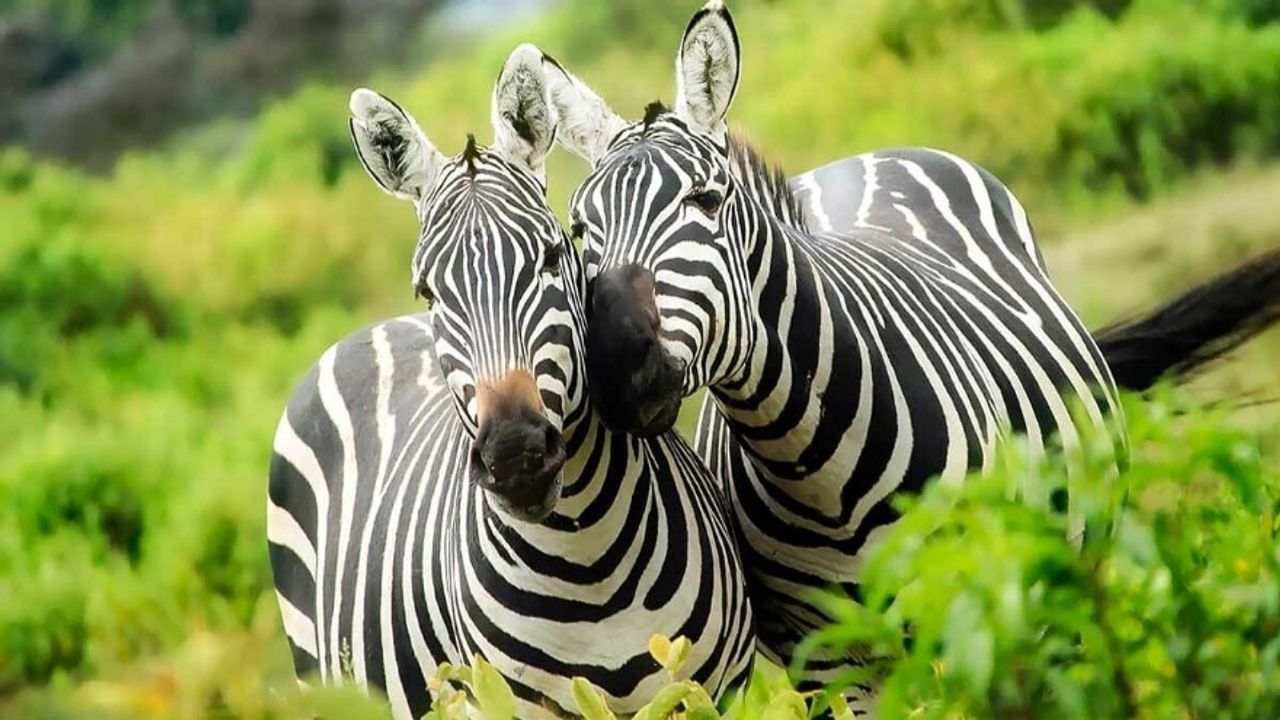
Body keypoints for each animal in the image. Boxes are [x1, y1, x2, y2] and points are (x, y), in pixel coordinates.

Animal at [266, 44, 755, 719]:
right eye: (429, 292)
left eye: (552, 255)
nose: (516, 455)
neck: (588, 562)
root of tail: (364, 332)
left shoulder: (718, 689)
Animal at [531, 0, 1280, 692]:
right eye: (580, 229)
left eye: (707, 202)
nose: (618, 368)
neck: (811, 465)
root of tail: (863, 158)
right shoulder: (824, 661)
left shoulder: (983, 608)